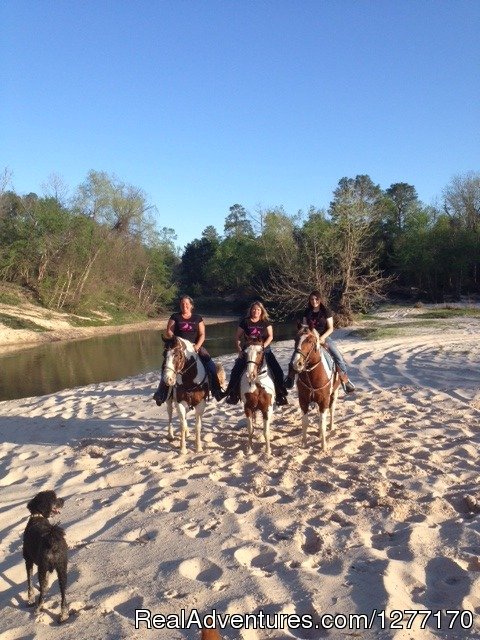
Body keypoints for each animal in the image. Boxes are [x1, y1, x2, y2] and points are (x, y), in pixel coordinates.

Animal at [22, 492, 69, 624]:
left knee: (42, 591)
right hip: (61, 568)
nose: (63, 500)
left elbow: (30, 583)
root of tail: (53, 540)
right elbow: (46, 582)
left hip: (42, 567)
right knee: (63, 593)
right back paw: (63, 615)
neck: (37, 516)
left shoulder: (28, 561)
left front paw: (30, 600)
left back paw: (38, 609)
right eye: (54, 498)